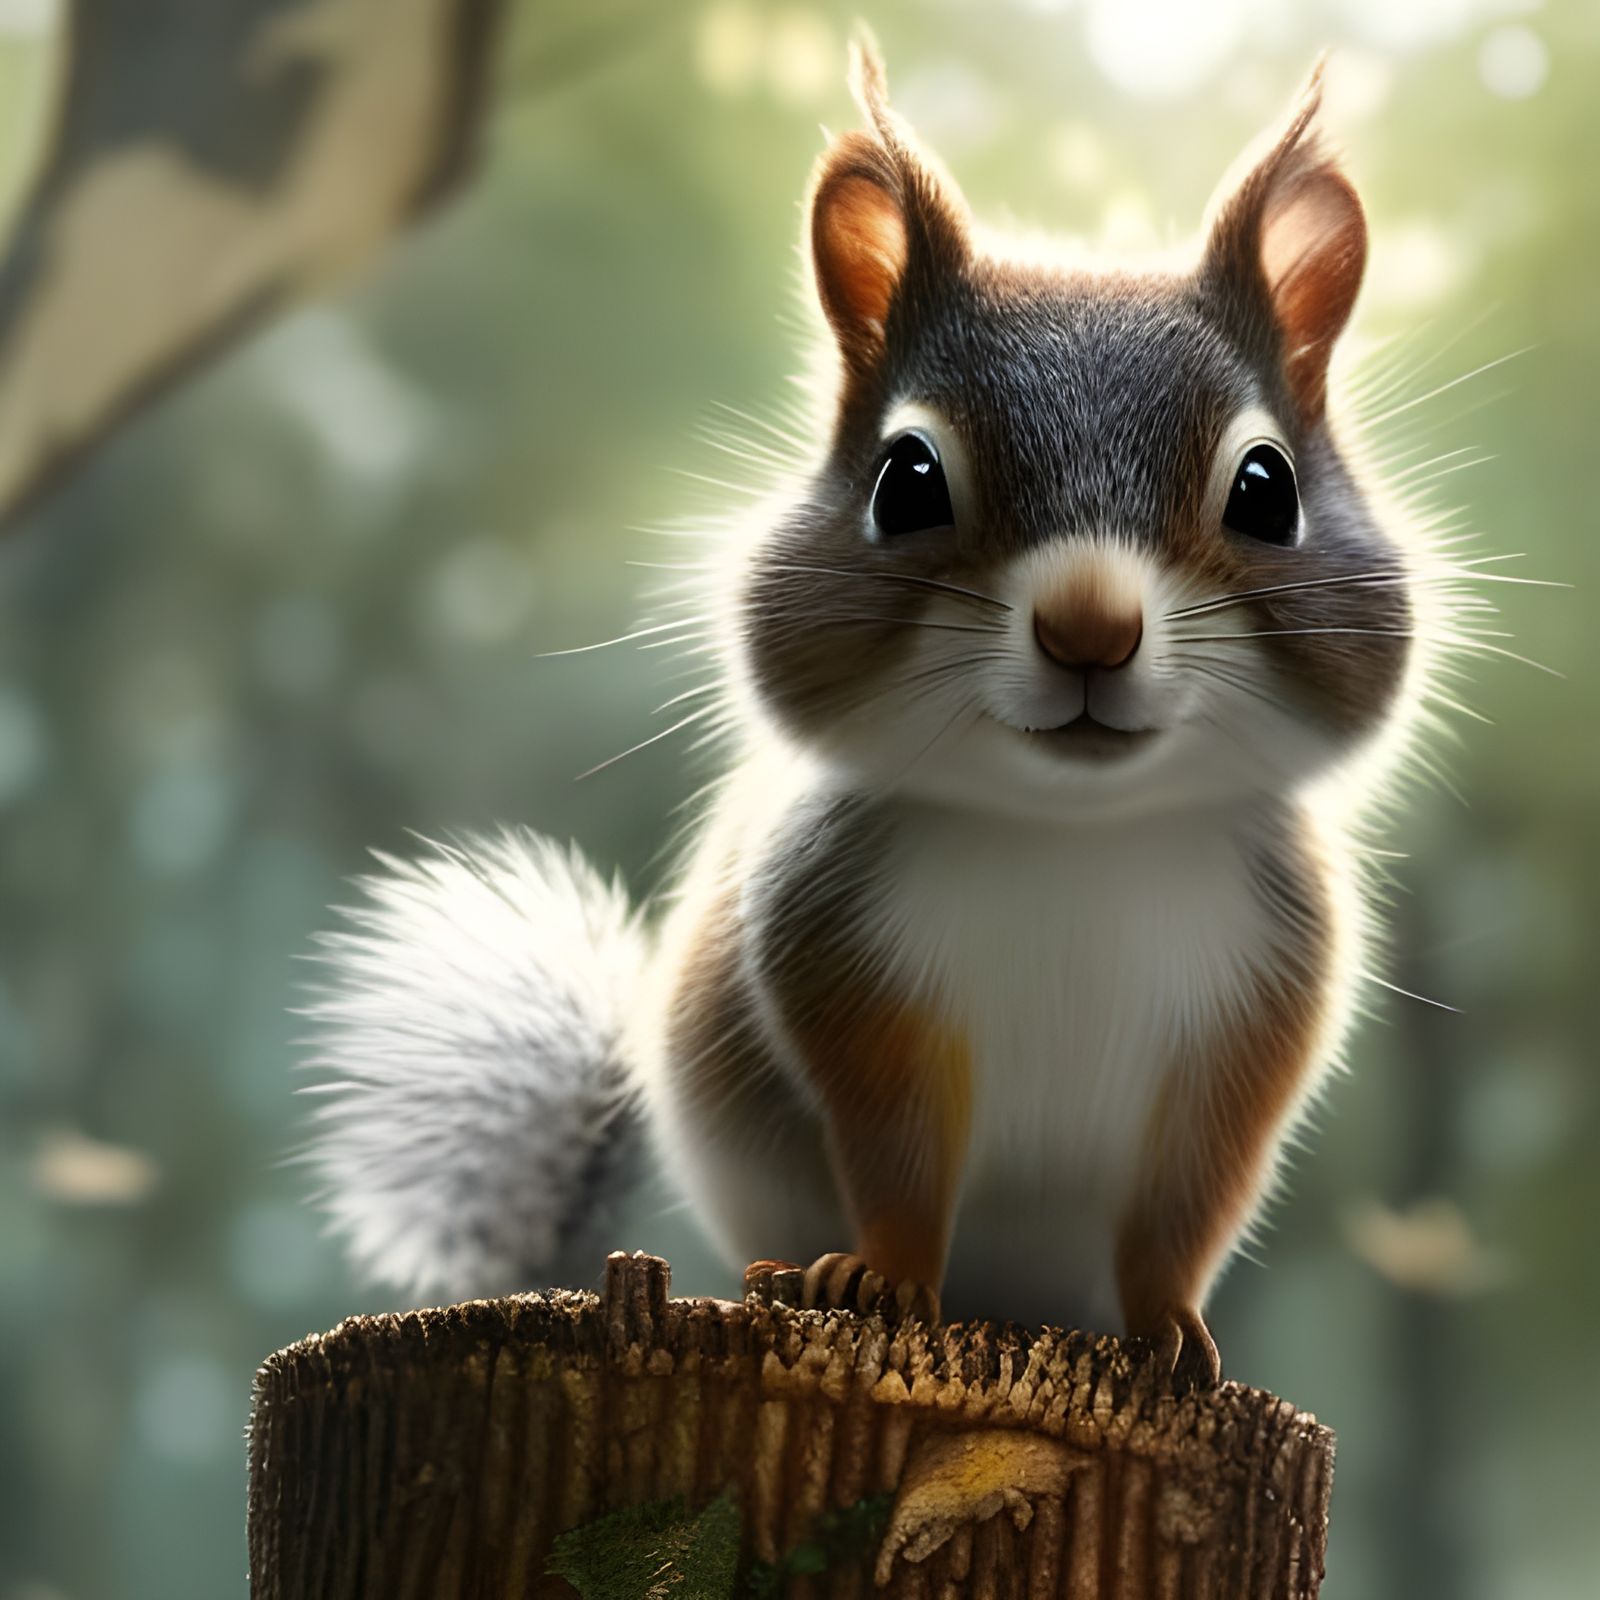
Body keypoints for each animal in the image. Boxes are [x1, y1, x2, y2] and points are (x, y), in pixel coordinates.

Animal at [303, 46, 1474, 1388]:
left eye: (1267, 489)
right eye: (904, 481)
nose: (1088, 627)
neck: (1072, 836)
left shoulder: (1257, 1003)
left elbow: (1190, 1192)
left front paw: (1173, 1324)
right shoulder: (838, 953)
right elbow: (897, 1147)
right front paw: (882, 1278)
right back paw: (785, 1274)